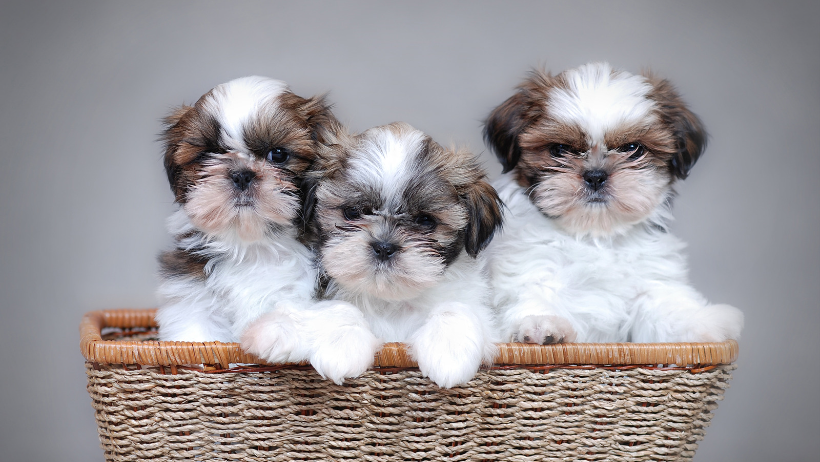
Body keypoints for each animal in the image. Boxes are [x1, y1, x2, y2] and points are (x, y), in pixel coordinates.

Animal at [243, 122, 502, 386]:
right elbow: (339, 307)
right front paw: (340, 347)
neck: (389, 301)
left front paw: (449, 351)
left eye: (425, 221)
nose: (384, 247)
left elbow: (456, 307)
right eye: (353, 212)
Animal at [480, 64, 744, 346]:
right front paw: (541, 322)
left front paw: (703, 320)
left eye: (633, 149)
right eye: (560, 150)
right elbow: (535, 293)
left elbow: (665, 307)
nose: (595, 175)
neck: (595, 234)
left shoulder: (649, 283)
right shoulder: (531, 268)